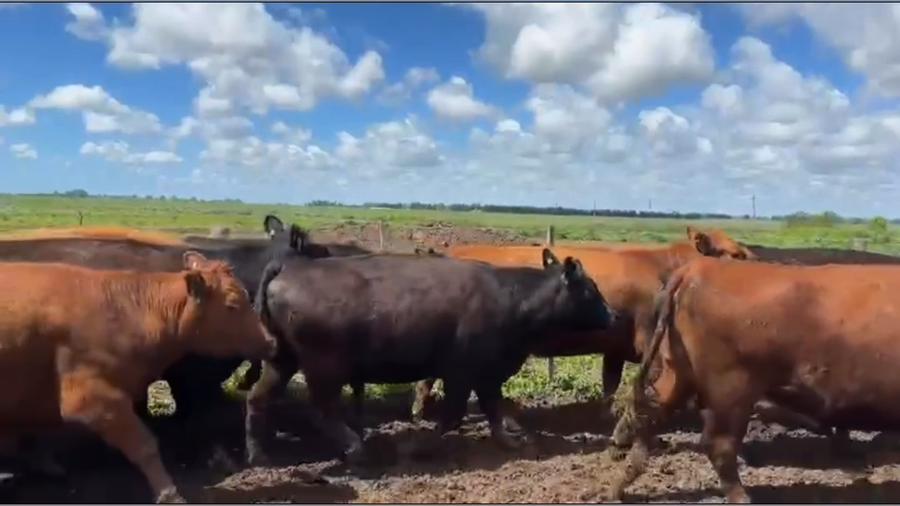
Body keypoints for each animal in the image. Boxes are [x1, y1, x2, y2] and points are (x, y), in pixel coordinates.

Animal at [0, 252, 277, 503]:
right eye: (232, 305)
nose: (271, 342)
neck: (125, 313)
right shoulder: (93, 399)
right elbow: (145, 446)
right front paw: (169, 493)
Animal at [244, 249, 615, 466]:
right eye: (590, 289)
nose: (614, 315)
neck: (510, 297)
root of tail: (288, 268)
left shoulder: (487, 374)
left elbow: (493, 410)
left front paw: (509, 442)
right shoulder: (461, 373)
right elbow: (452, 416)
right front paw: (418, 448)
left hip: (282, 359)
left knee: (258, 398)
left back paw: (258, 454)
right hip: (324, 368)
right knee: (319, 409)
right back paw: (354, 448)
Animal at [408, 226, 756, 421]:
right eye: (736, 254)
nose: (759, 264)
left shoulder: (616, 346)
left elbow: (610, 383)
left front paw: (604, 415)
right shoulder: (649, 340)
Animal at [608, 256, 900, 503]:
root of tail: (698, 267)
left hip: (678, 375)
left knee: (648, 416)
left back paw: (619, 486)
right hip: (731, 390)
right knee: (719, 444)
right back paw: (741, 497)